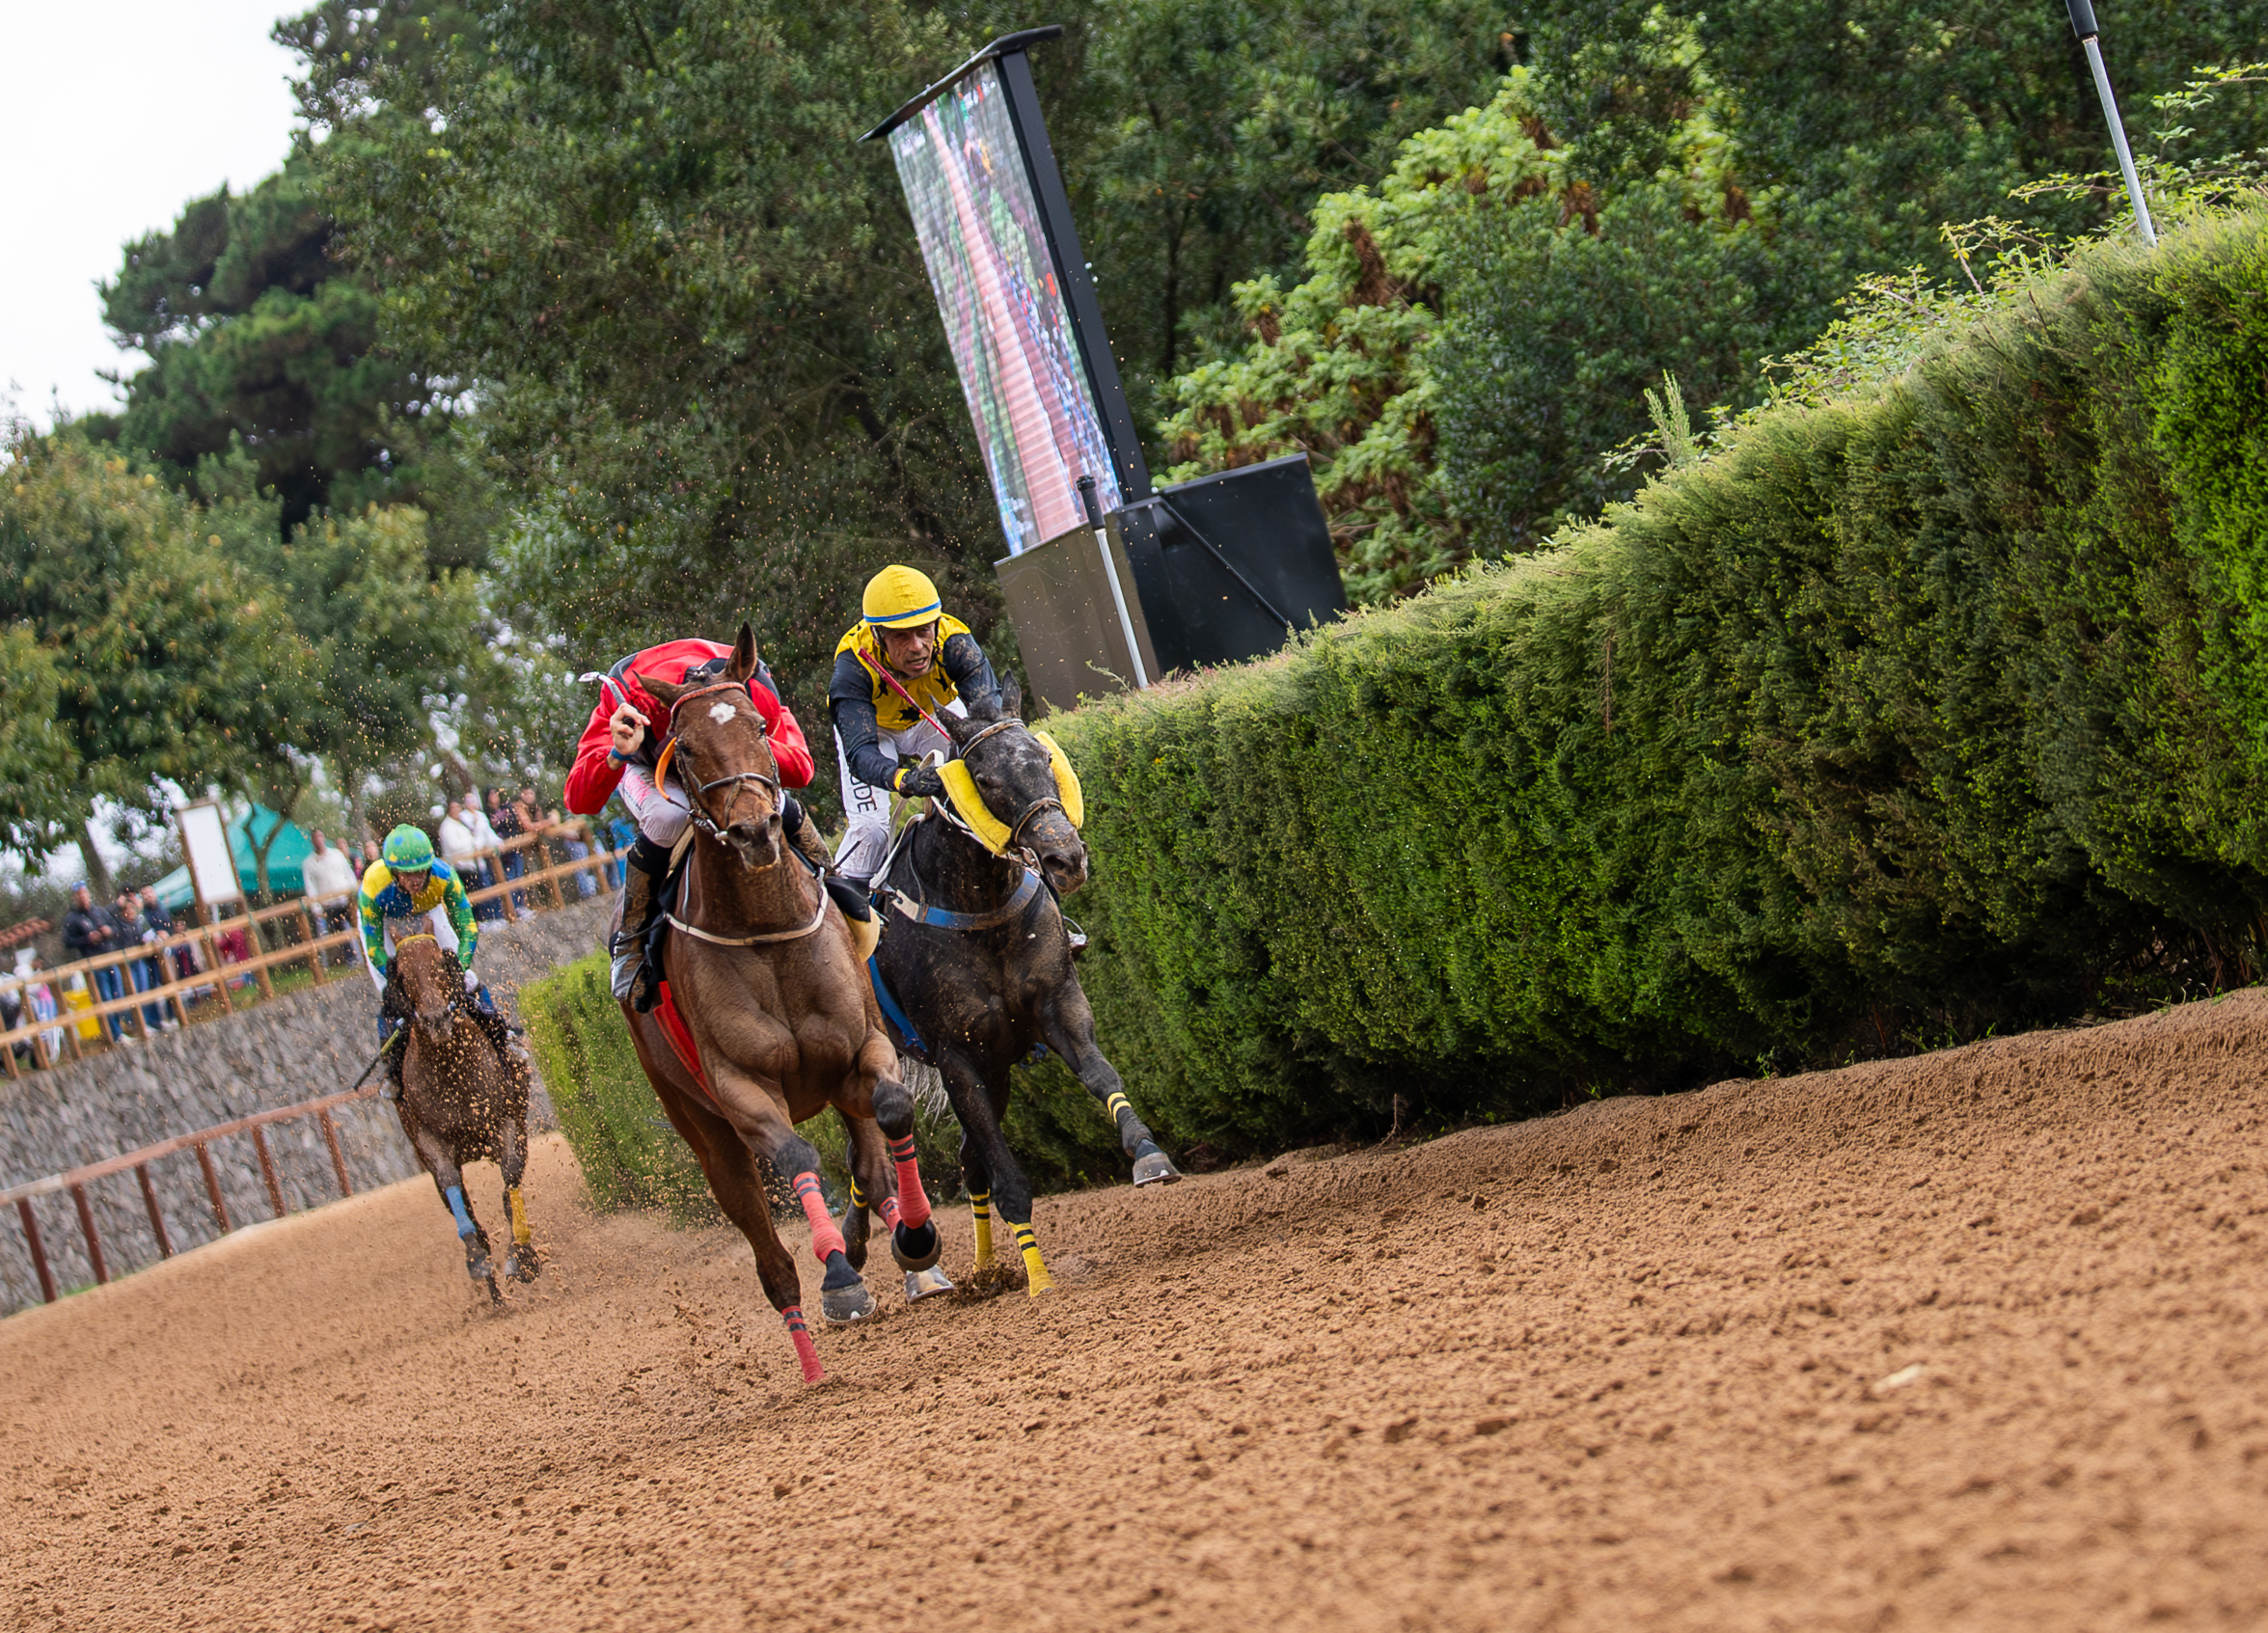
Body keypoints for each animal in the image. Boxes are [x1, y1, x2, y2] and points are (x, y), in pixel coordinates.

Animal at [392, 930, 541, 1296]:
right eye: (402, 975)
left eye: (441, 964)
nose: (436, 1019)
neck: (451, 1069)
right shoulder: (429, 1141)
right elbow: (450, 1183)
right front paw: (477, 1257)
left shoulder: (505, 1121)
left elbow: (511, 1175)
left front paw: (522, 1255)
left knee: (507, 1190)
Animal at [616, 621, 934, 1378]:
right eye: (685, 748)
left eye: (760, 726)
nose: (756, 830)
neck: (763, 928)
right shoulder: (739, 1087)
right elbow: (795, 1157)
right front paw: (840, 1279)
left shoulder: (863, 1048)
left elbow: (891, 1109)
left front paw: (915, 1237)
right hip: (703, 1134)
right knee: (768, 1256)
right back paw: (813, 1353)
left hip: (836, 1083)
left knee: (869, 1157)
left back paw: (905, 1252)